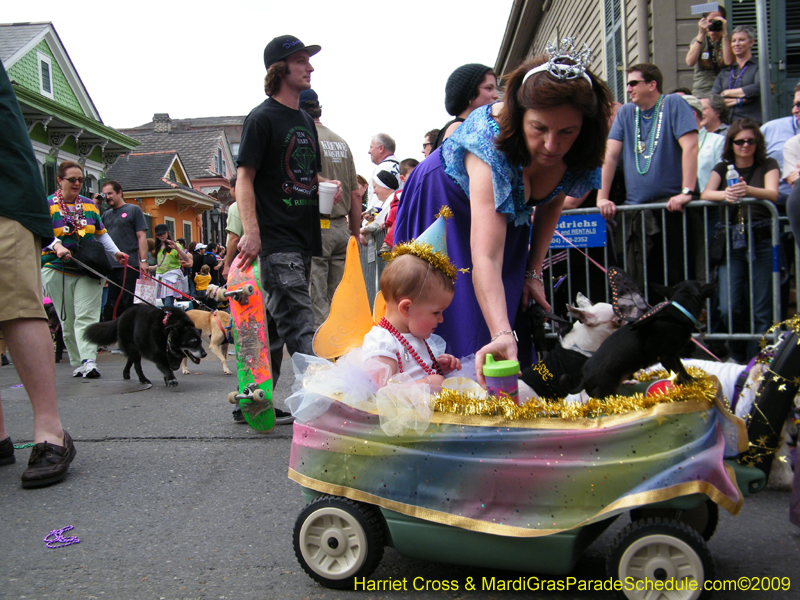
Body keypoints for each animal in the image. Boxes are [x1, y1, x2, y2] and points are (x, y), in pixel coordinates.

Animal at [572, 280, 716, 398]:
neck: (678, 311)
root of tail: (584, 379)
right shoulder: (666, 357)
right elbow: (678, 372)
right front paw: (688, 384)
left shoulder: (674, 355)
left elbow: (681, 368)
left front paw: (692, 380)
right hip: (607, 390)